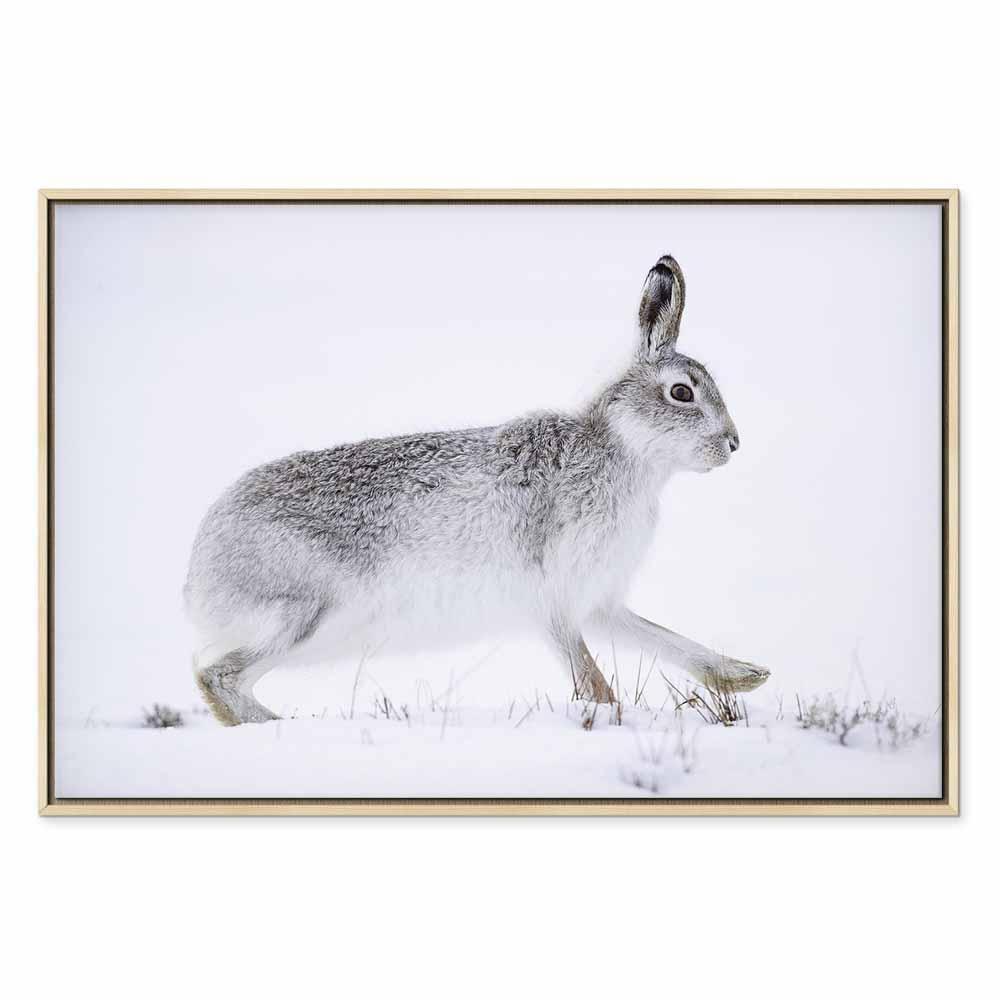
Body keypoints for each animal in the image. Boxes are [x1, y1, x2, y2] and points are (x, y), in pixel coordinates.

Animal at [184, 254, 770, 725]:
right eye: (682, 393)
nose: (733, 443)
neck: (622, 450)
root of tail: (198, 573)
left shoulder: (598, 599)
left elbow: (662, 637)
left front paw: (745, 676)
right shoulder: (554, 596)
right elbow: (589, 677)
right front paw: (611, 715)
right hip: (307, 613)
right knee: (217, 678)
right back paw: (279, 727)